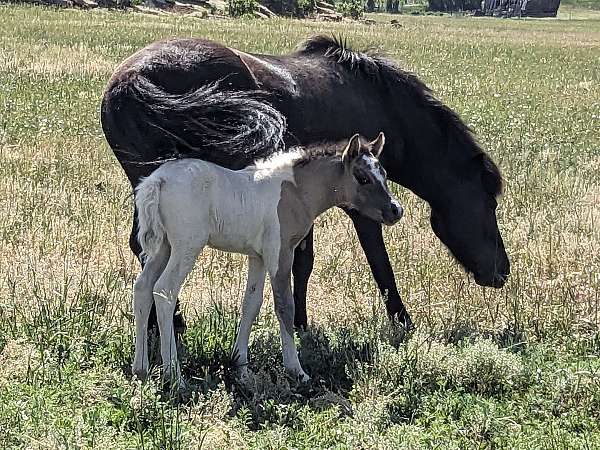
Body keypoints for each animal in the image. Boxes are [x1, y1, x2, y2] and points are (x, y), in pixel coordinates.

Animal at [101, 35, 508, 330]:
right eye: (489, 202)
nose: (502, 272)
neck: (379, 102)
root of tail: (134, 78)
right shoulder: (360, 207)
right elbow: (376, 261)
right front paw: (401, 320)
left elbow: (303, 261)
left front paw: (298, 321)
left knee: (144, 247)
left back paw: (160, 325)